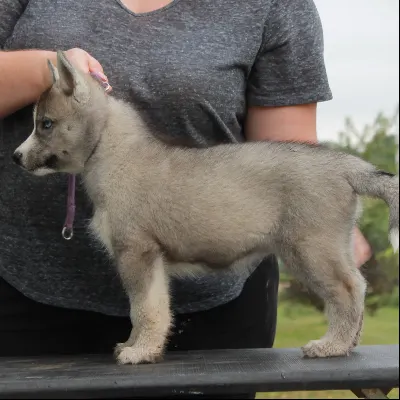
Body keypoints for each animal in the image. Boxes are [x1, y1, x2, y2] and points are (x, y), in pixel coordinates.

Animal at [10, 50, 398, 366]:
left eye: (45, 124)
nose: (15, 157)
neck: (114, 152)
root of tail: (347, 166)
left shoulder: (137, 253)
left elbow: (145, 308)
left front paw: (141, 351)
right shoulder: (151, 260)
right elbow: (150, 308)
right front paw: (136, 345)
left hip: (312, 249)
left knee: (348, 291)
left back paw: (333, 345)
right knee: (358, 285)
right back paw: (348, 343)